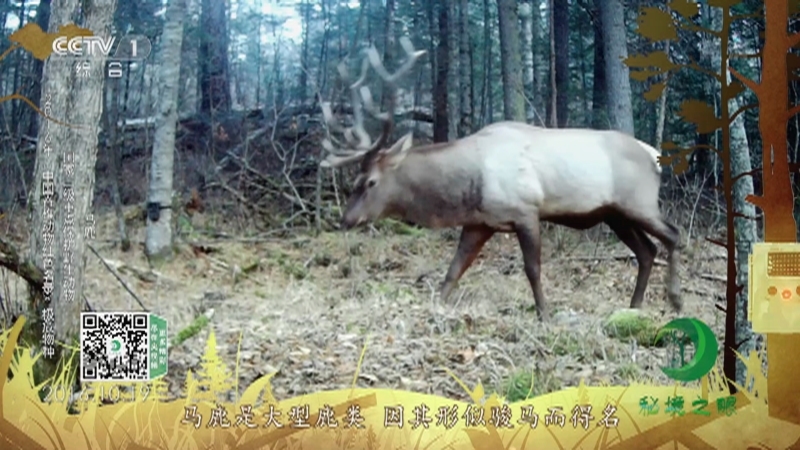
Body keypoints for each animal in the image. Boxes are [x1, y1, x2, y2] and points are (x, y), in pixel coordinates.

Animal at [317, 37, 682, 322]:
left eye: (370, 182)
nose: (345, 220)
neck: (469, 184)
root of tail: (654, 155)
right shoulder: (480, 222)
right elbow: (454, 269)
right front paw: (437, 305)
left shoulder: (526, 210)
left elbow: (532, 269)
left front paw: (544, 315)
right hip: (615, 214)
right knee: (647, 250)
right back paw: (634, 307)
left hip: (639, 203)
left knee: (672, 235)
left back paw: (675, 300)